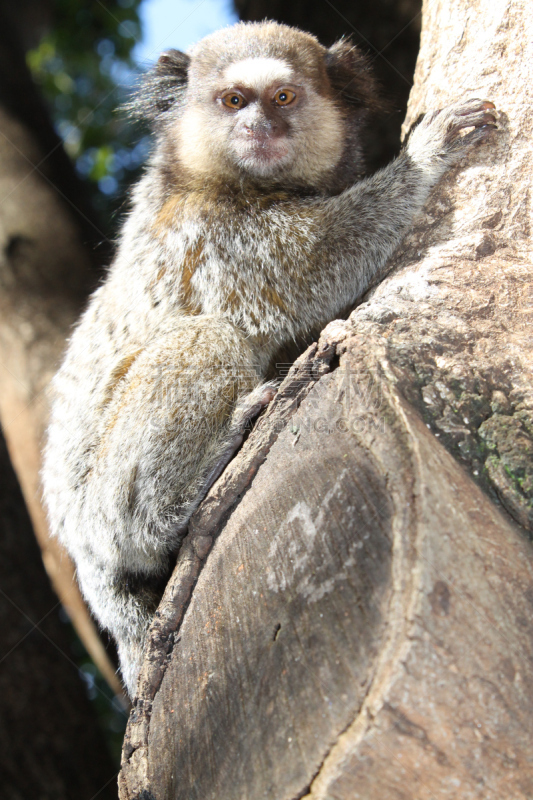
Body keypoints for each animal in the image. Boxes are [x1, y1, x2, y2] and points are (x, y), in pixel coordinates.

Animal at [41, 18, 494, 692]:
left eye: (282, 98)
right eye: (234, 101)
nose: (259, 127)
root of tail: (82, 558)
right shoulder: (218, 233)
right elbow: (315, 267)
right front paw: (425, 156)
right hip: (103, 506)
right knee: (206, 340)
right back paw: (190, 487)